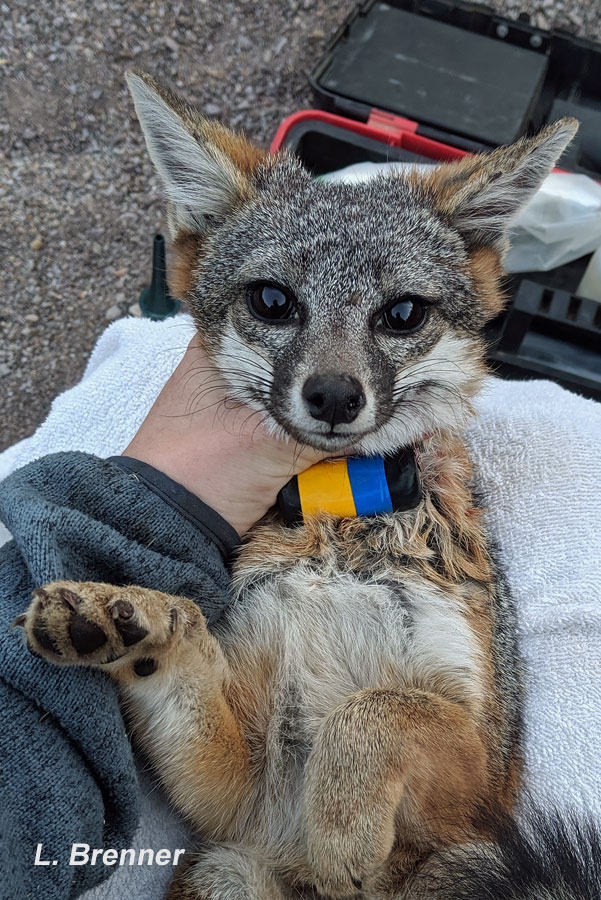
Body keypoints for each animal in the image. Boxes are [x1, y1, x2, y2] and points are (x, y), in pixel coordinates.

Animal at [16, 72, 601, 899]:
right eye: (272, 300)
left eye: (401, 313)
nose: (332, 395)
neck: (339, 531)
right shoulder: (244, 806)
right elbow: (216, 668)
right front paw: (139, 621)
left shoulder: (478, 789)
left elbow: (377, 706)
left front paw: (342, 833)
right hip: (229, 870)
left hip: (470, 858)